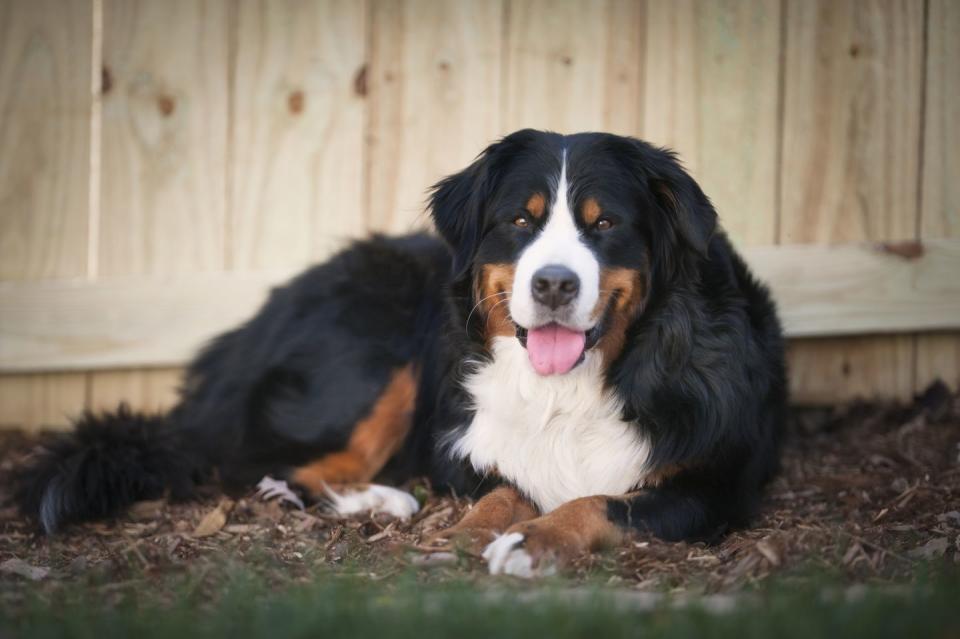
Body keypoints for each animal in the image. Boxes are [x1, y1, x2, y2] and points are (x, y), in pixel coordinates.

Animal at [15, 130, 784, 580]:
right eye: (521, 220)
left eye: (605, 224)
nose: (554, 284)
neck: (569, 389)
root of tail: (246, 327)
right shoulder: (466, 445)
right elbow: (502, 488)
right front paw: (468, 532)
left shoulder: (711, 483)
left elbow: (598, 501)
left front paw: (531, 540)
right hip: (381, 348)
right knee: (272, 465)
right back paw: (384, 497)